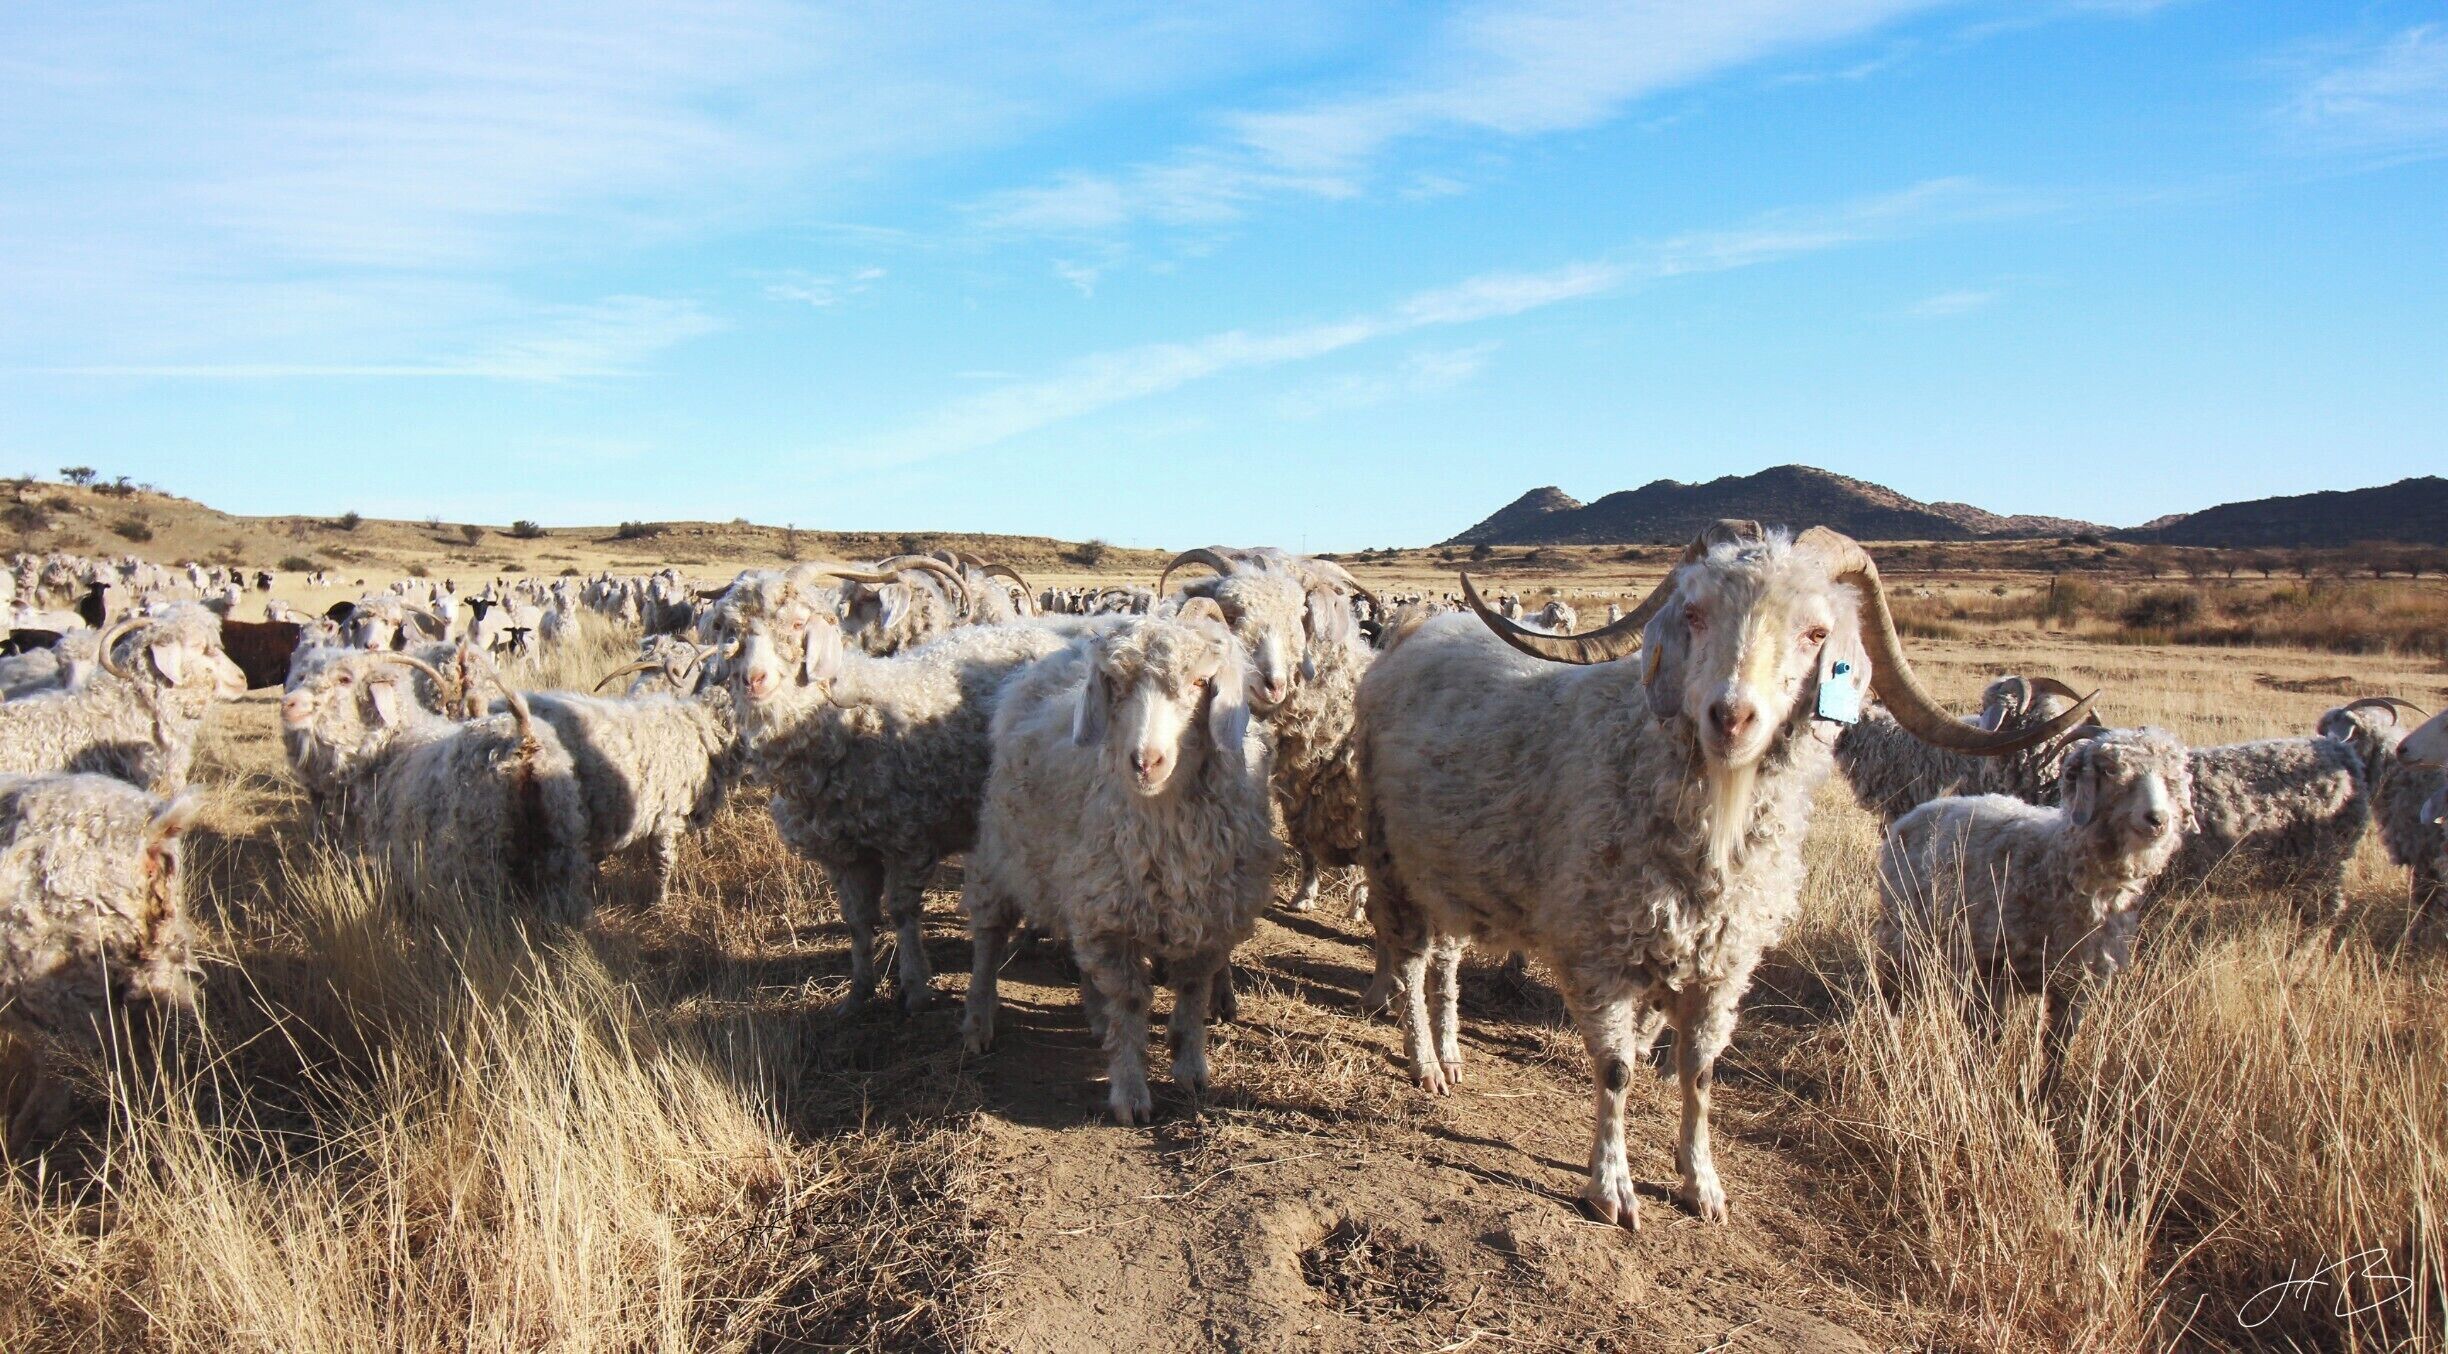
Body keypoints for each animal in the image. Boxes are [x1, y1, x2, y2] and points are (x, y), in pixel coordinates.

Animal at [277, 650, 592, 921]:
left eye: (345, 679)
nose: (288, 705)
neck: (392, 745)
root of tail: (523, 738)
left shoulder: (394, 854)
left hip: (483, 862)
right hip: (560, 845)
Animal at [724, 581, 1091, 1014]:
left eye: (798, 623)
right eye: (732, 631)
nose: (754, 679)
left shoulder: (908, 838)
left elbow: (901, 912)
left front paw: (915, 988)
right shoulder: (841, 853)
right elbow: (857, 921)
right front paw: (858, 993)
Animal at [961, 603, 1278, 1124]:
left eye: (1199, 682)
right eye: (1115, 683)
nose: (1145, 762)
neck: (1164, 820)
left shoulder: (1210, 916)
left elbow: (1192, 992)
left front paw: (1191, 1069)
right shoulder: (1112, 916)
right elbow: (1129, 1002)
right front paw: (1130, 1094)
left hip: (1078, 884)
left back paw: (1093, 1016)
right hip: (1003, 848)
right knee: (988, 937)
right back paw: (977, 1021)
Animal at [1354, 521, 2092, 1228]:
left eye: (1815, 633)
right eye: (1696, 613)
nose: (1731, 717)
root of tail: (1417, 635)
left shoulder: (1722, 964)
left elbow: (1700, 1074)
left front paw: (1701, 1182)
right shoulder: (1601, 951)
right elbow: (1616, 1071)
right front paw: (1611, 1188)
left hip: (1448, 871)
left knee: (1447, 958)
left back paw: (1451, 1052)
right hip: (1391, 857)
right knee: (1413, 963)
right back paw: (1424, 1062)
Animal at [1876, 727, 2194, 1059]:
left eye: (2172, 778)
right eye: (2109, 770)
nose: (2157, 820)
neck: (2053, 863)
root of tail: (1921, 810)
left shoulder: (2075, 986)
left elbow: (2055, 1055)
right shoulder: (1990, 971)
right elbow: (1989, 1043)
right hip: (1901, 934)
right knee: (1894, 993)